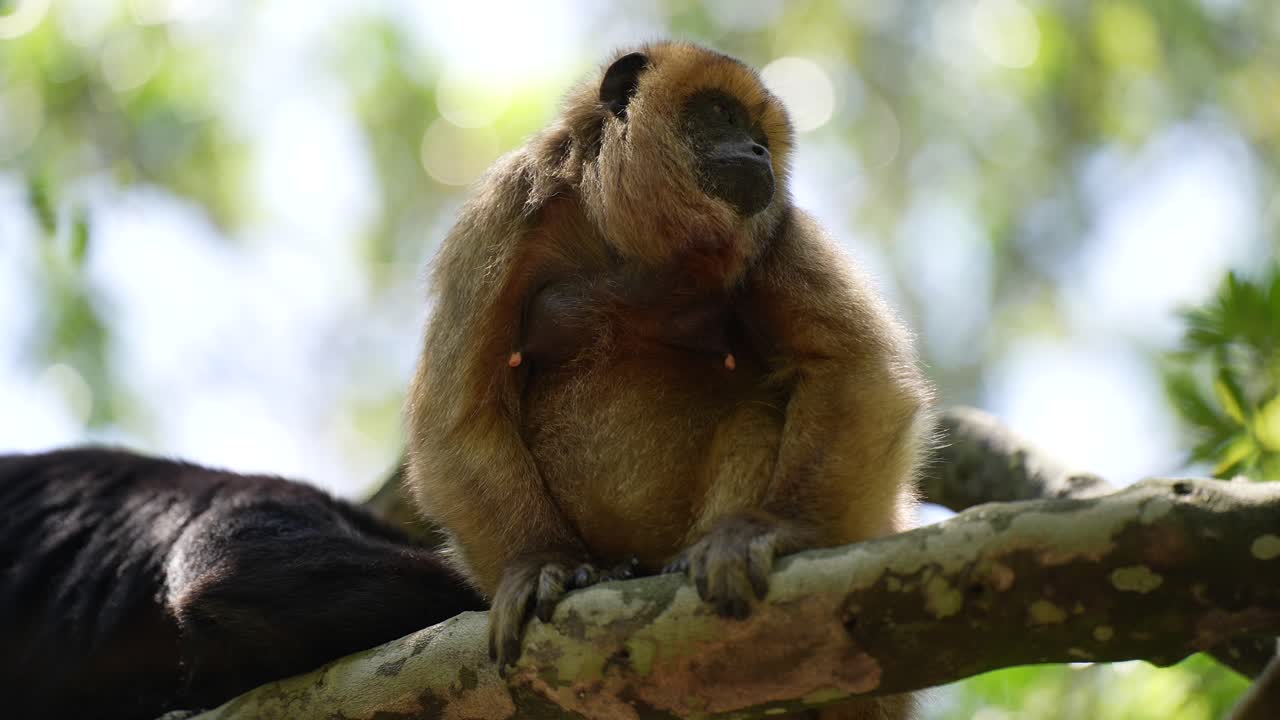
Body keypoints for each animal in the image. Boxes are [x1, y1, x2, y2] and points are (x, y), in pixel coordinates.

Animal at [407, 42, 933, 719]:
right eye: (721, 114)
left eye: (761, 134)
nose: (759, 151)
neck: (633, 246)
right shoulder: (501, 213)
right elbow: (457, 418)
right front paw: (543, 562)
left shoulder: (778, 226)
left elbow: (852, 365)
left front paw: (773, 527)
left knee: (761, 416)